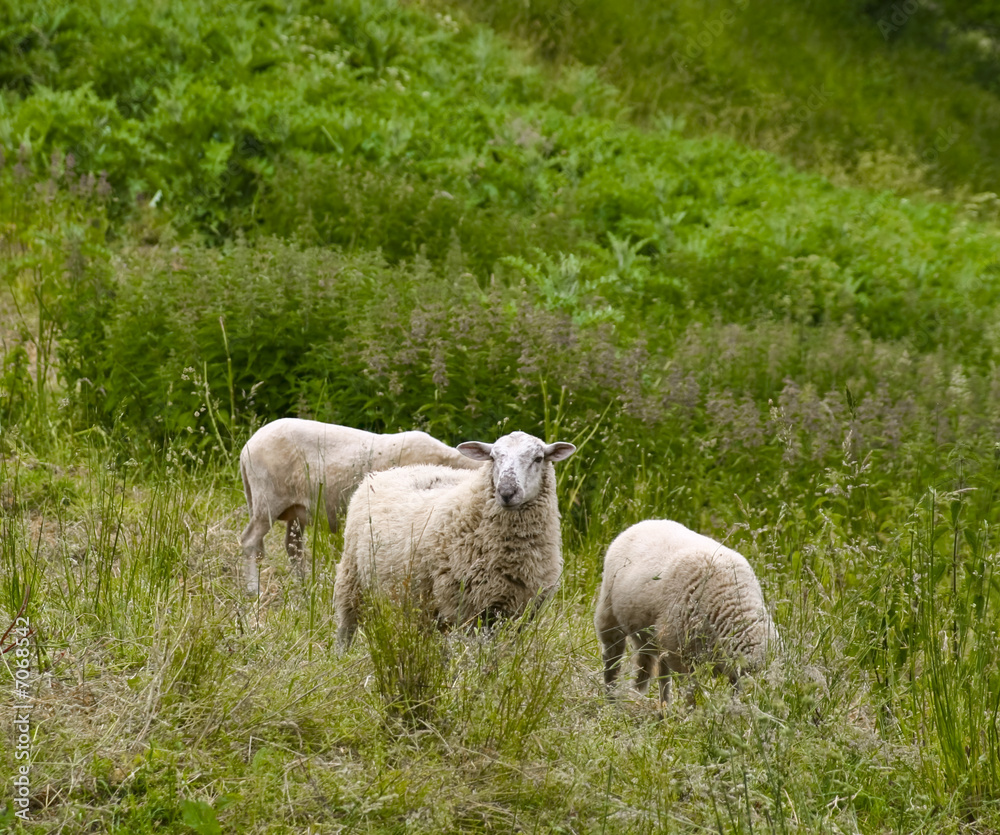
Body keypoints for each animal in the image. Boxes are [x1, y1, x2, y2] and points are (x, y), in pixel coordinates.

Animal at [239, 418, 483, 594]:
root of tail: (246, 448)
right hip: (268, 500)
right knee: (250, 541)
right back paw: (253, 590)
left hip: (293, 509)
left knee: (292, 548)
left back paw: (304, 588)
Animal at [334, 430, 576, 650]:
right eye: (493, 457)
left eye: (538, 458)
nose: (507, 492)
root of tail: (397, 470)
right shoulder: (460, 608)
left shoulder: (520, 610)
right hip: (351, 579)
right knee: (346, 628)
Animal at [594, 519, 779, 707]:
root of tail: (647, 522)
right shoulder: (682, 657)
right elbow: (692, 690)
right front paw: (693, 712)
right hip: (610, 617)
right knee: (612, 660)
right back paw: (611, 699)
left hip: (659, 636)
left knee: (659, 671)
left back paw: (663, 708)